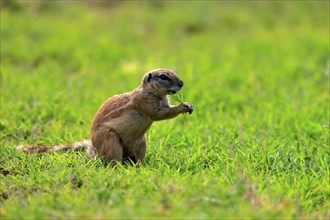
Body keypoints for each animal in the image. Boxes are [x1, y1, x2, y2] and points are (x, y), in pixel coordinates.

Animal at [17, 69, 193, 164]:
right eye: (163, 76)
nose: (182, 83)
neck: (154, 94)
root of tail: (95, 151)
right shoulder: (143, 102)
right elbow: (158, 114)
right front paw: (183, 107)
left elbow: (166, 109)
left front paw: (189, 105)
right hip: (110, 139)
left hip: (141, 142)